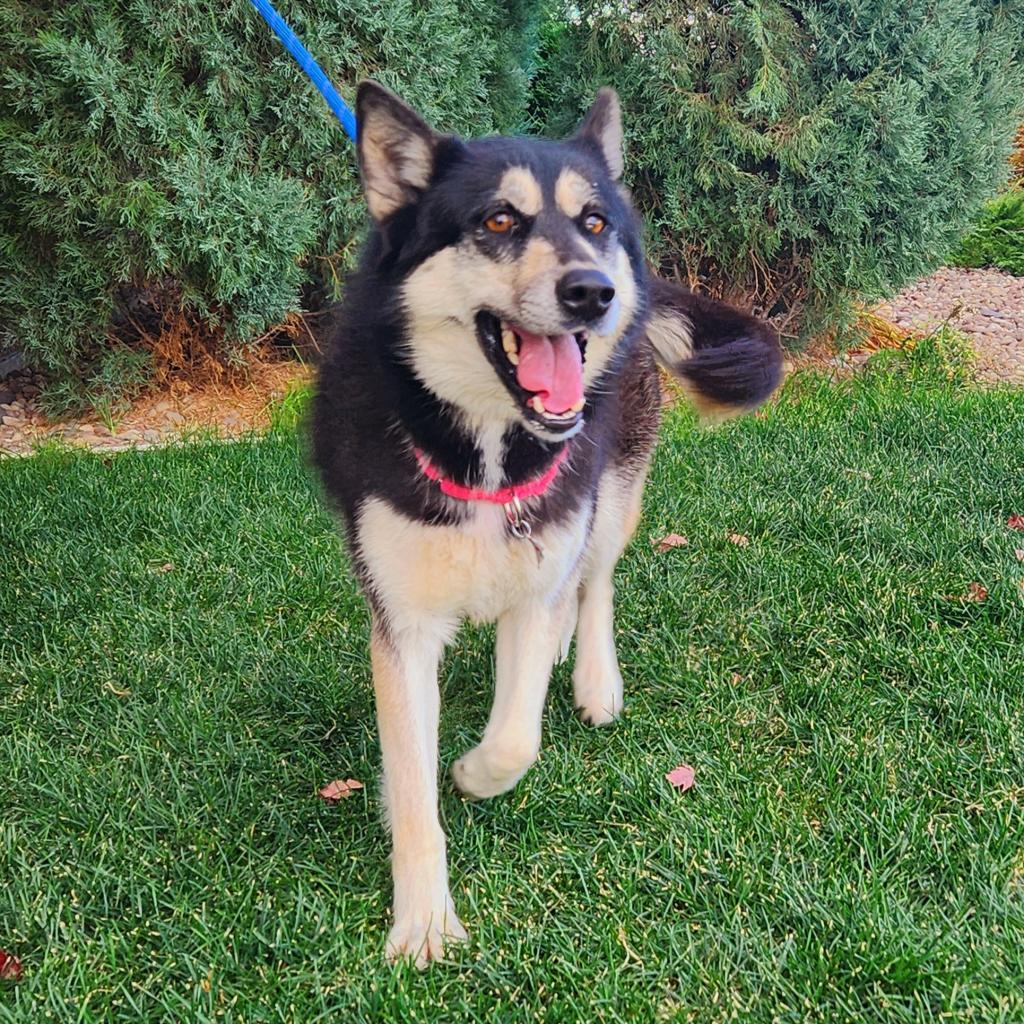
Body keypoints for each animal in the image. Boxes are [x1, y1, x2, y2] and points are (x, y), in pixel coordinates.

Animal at [311, 81, 782, 966]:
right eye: (498, 220)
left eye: (593, 222)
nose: (593, 292)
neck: (489, 449)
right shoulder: (401, 623)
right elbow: (415, 783)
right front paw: (423, 918)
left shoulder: (537, 576)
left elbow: (514, 738)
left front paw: (468, 774)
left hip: (612, 496)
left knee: (593, 582)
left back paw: (593, 675)